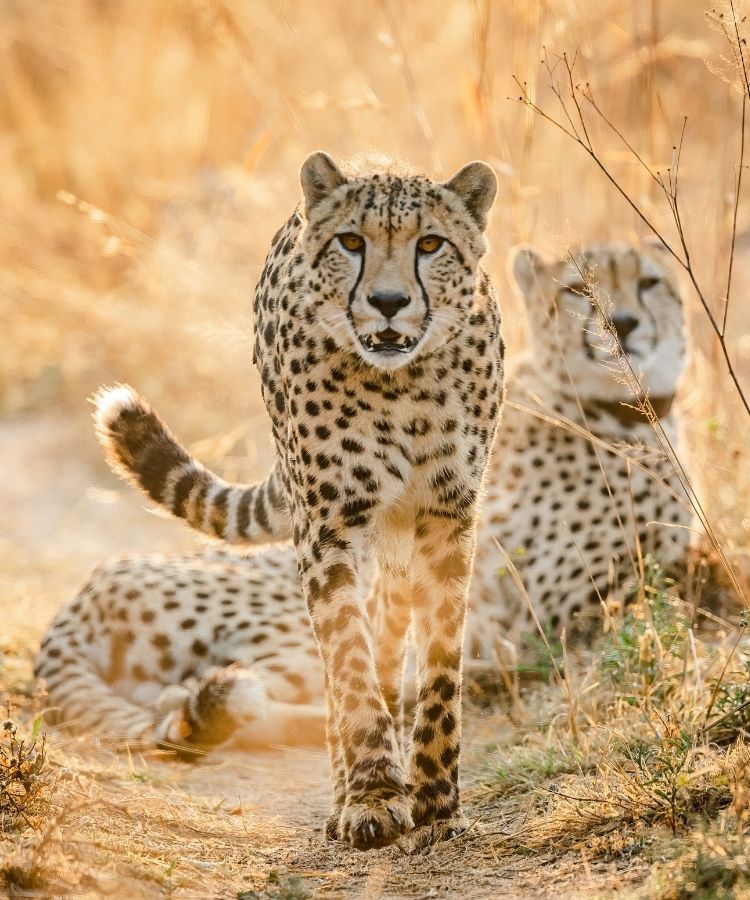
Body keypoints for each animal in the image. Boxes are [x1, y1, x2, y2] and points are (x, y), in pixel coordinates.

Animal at [36, 240, 690, 819]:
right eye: (577, 290)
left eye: (649, 282)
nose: (625, 323)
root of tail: (85, 594)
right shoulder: (563, 592)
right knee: (278, 691)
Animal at [40, 152, 504, 852]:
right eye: (351, 242)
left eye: (430, 245)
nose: (388, 303)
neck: (404, 387)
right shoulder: (328, 524)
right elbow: (348, 658)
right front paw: (372, 797)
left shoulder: (446, 518)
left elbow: (438, 663)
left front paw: (435, 803)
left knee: (387, 634)